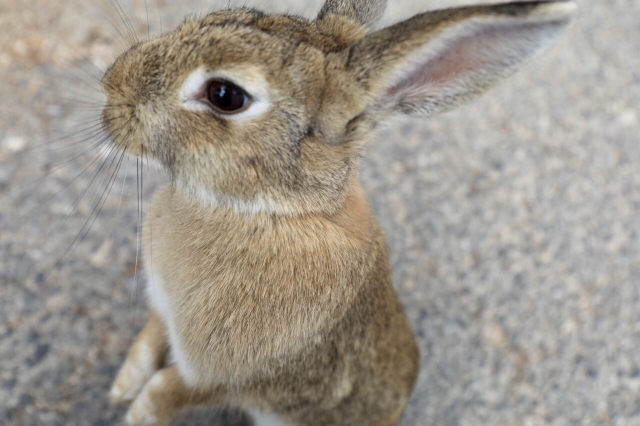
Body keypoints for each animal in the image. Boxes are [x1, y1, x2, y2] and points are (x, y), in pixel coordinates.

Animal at [102, 0, 576, 426]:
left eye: (226, 95)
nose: (112, 87)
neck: (268, 211)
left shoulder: (223, 377)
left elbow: (167, 391)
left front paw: (136, 415)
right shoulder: (163, 311)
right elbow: (147, 343)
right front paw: (121, 387)